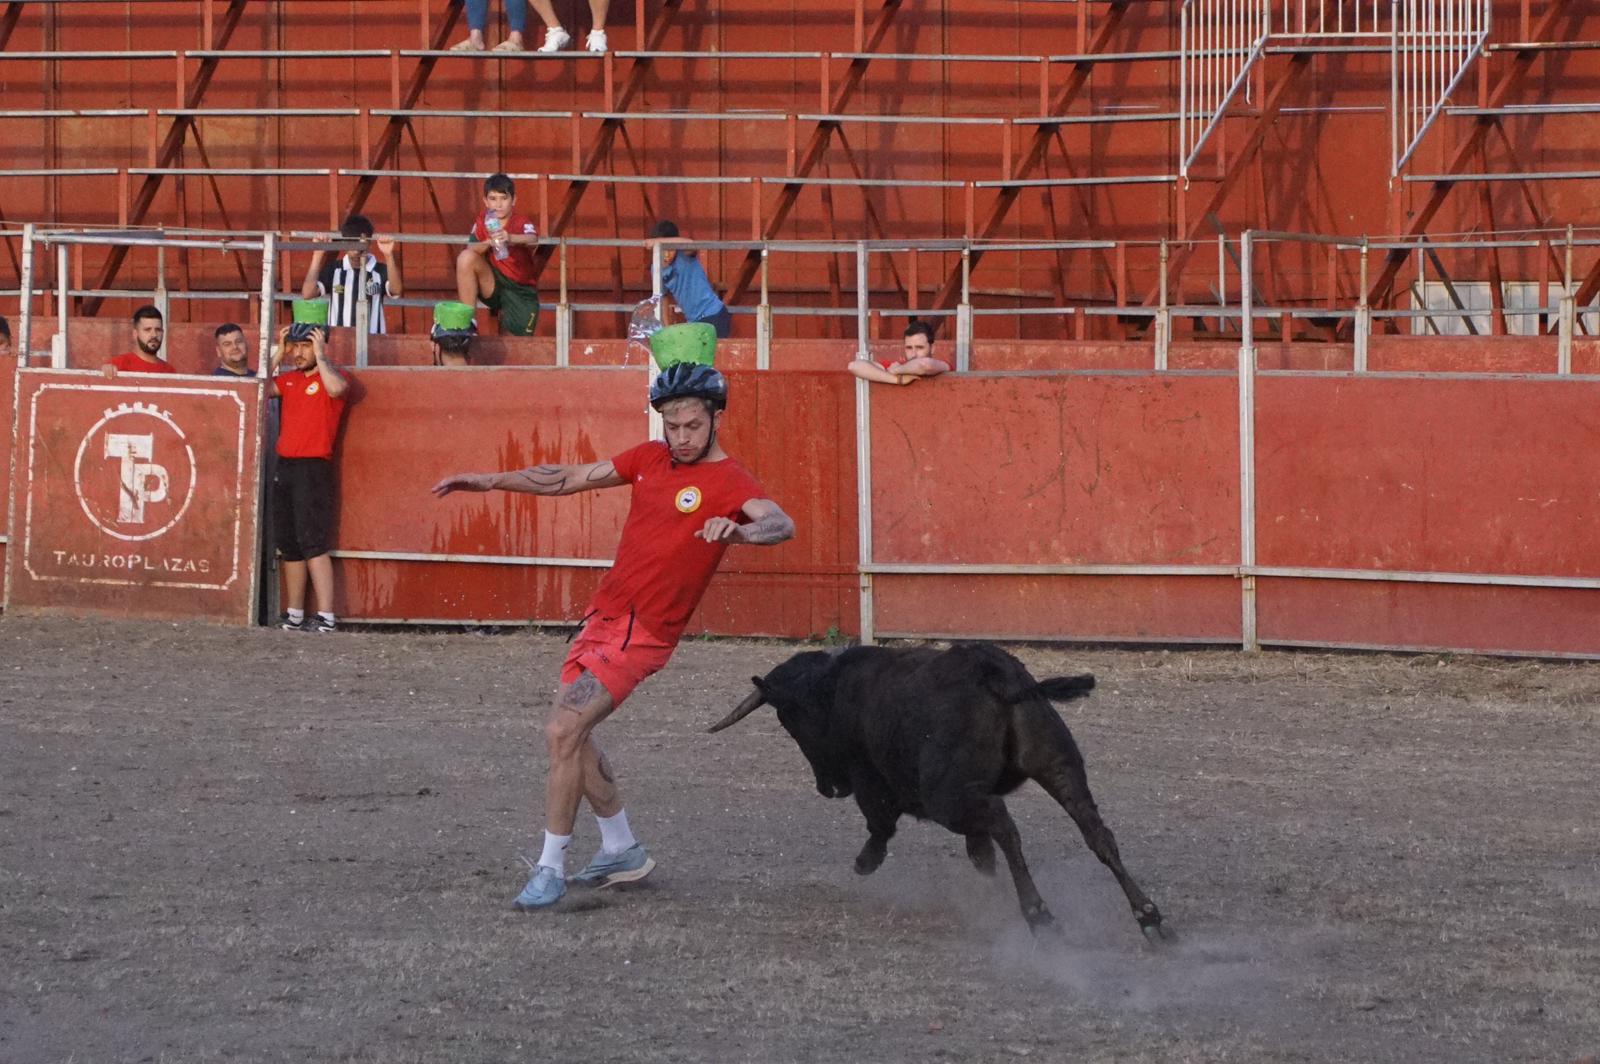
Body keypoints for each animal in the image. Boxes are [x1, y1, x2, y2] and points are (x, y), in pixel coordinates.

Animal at [707, 643, 1171, 934]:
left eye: (789, 721)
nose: (829, 788)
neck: (832, 689)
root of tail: (995, 673)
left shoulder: (869, 778)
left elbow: (880, 823)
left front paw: (865, 862)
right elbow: (978, 850)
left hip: (948, 796)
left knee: (1006, 827)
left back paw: (1038, 914)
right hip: (1059, 766)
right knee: (1096, 832)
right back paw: (1149, 917)